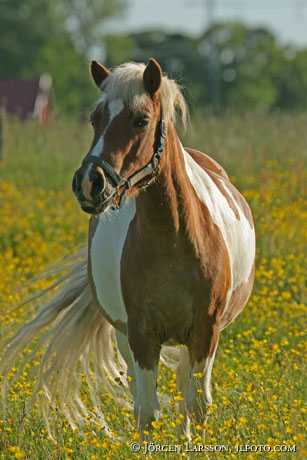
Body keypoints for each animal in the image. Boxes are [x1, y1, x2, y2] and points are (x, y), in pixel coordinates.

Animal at [0, 58, 256, 438]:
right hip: (125, 336)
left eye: (141, 120)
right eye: (95, 118)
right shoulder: (140, 334)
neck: (172, 236)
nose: (89, 182)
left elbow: (197, 405)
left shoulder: (205, 332)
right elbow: (147, 413)